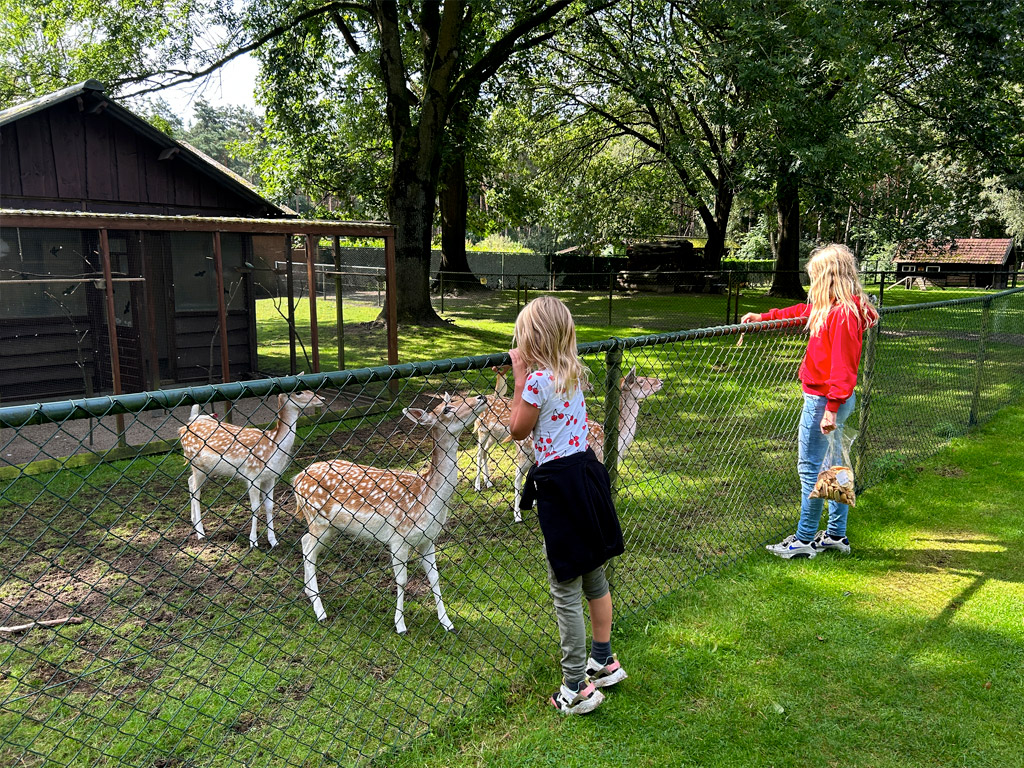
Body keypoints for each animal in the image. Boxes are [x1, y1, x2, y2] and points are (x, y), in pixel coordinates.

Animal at [179, 391, 323, 548]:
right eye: (298, 392)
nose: (321, 399)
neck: (273, 446)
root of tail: (184, 428)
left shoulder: (270, 477)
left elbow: (269, 506)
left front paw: (273, 541)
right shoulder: (253, 475)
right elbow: (255, 507)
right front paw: (253, 541)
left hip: (207, 468)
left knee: (190, 481)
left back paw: (194, 521)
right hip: (196, 463)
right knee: (196, 491)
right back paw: (200, 532)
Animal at [292, 393, 491, 634]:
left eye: (454, 398)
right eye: (446, 409)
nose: (481, 397)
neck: (427, 499)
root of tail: (296, 478)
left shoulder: (428, 539)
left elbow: (435, 577)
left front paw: (447, 622)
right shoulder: (398, 538)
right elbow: (402, 581)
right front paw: (400, 625)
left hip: (327, 526)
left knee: (305, 542)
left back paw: (310, 595)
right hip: (317, 519)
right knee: (308, 548)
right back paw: (319, 610)